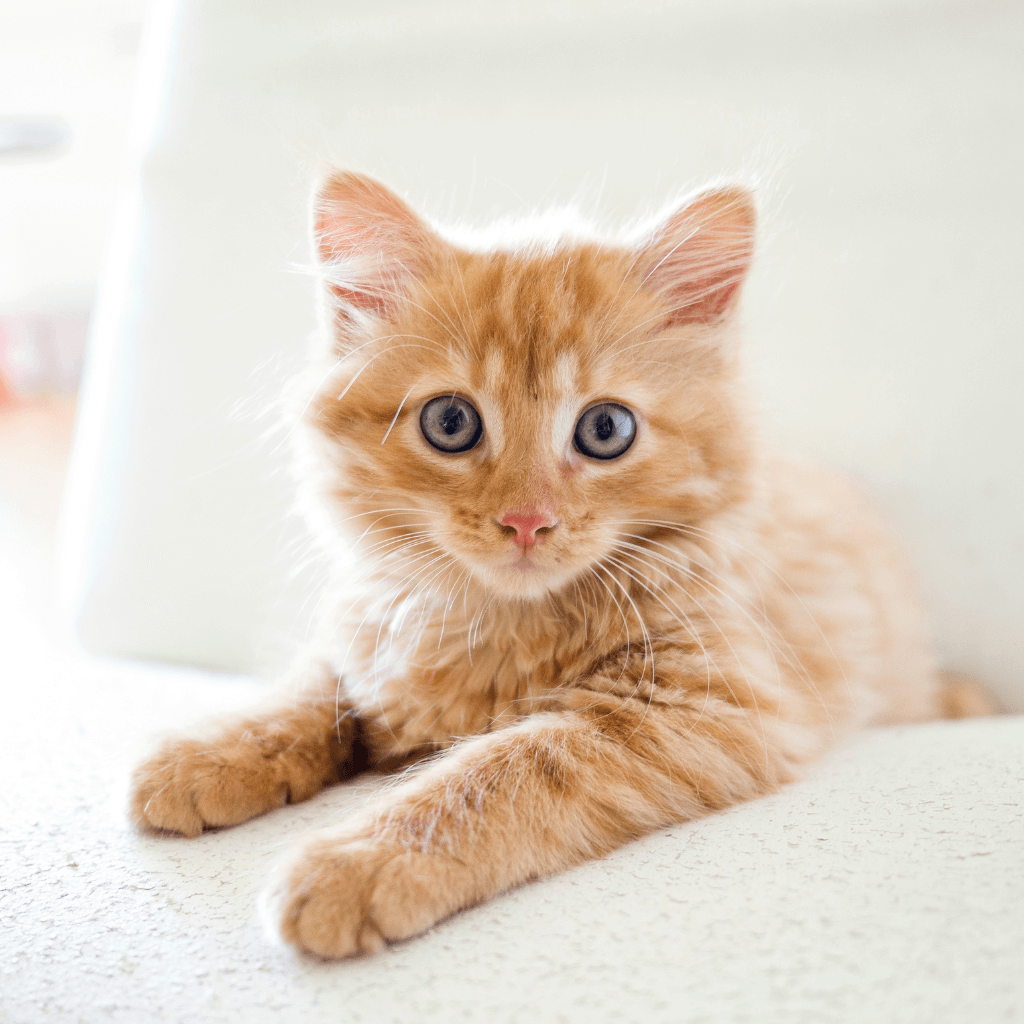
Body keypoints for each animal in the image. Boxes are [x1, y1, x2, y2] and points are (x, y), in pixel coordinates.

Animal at [128, 169, 991, 958]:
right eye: (450, 422)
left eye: (605, 430)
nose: (526, 521)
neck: (501, 625)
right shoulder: (372, 627)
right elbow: (312, 688)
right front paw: (205, 752)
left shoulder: (703, 704)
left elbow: (500, 768)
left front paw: (359, 864)